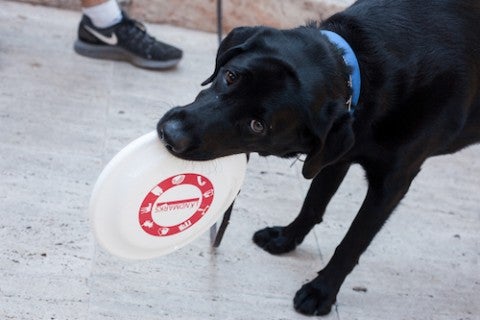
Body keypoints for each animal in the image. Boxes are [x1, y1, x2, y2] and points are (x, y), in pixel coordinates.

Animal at [158, 0, 480, 316]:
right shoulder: (335, 154)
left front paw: (322, 291)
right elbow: (313, 202)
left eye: (258, 125)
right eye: (230, 76)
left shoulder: (391, 184)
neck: (364, 69)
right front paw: (286, 238)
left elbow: (353, 242)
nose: (170, 134)